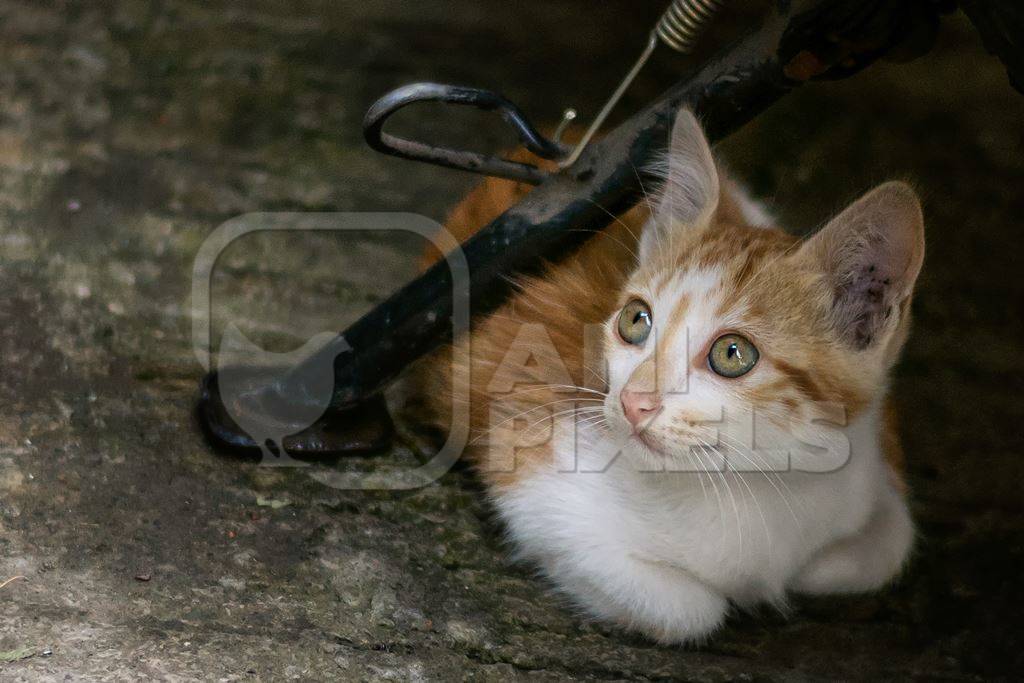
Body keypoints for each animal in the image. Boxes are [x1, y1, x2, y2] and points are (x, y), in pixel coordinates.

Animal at [419, 109, 925, 643]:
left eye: (732, 353)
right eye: (635, 320)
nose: (632, 401)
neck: (756, 480)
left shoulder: (871, 449)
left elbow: (891, 540)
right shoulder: (537, 477)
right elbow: (687, 608)